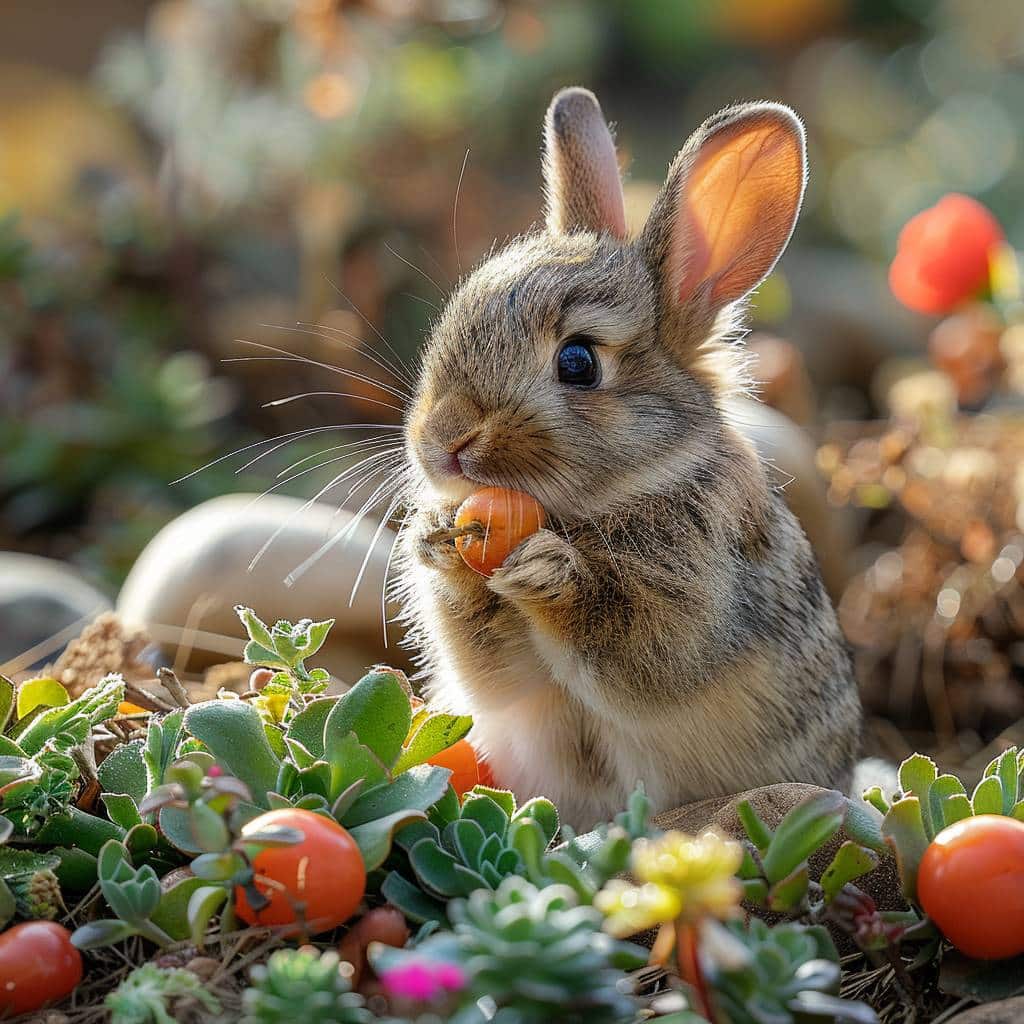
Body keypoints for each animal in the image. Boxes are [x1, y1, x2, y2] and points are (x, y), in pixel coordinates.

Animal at [391, 83, 864, 827]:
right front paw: (440, 545)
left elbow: (636, 652)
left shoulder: (695, 596)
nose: (441, 442)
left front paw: (549, 574)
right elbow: (488, 663)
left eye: (578, 363)